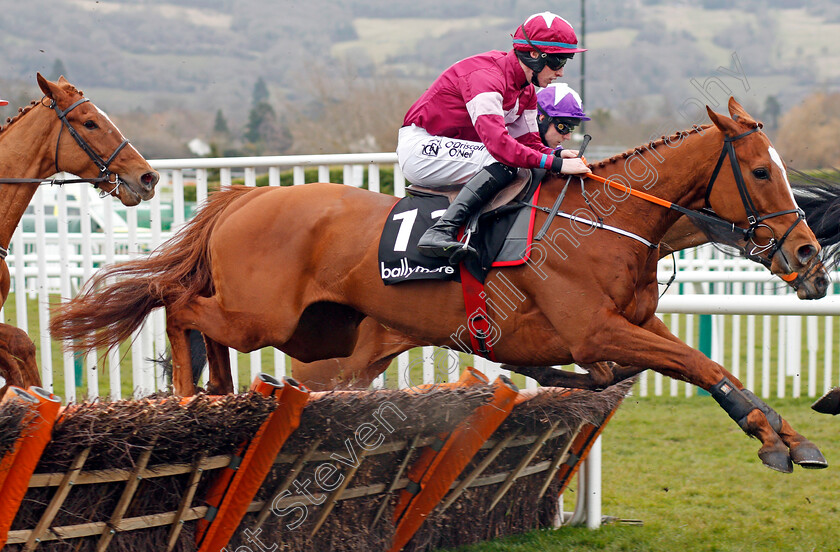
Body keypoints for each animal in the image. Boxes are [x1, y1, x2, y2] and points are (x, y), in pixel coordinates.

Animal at [50, 99, 828, 470]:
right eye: (761, 171)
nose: (809, 256)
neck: (609, 219)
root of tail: (246, 197)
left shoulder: (631, 328)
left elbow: (696, 365)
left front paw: (786, 436)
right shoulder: (595, 330)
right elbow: (697, 361)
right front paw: (779, 438)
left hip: (324, 342)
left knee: (235, 343)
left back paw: (218, 393)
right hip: (261, 316)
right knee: (180, 305)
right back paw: (189, 394)